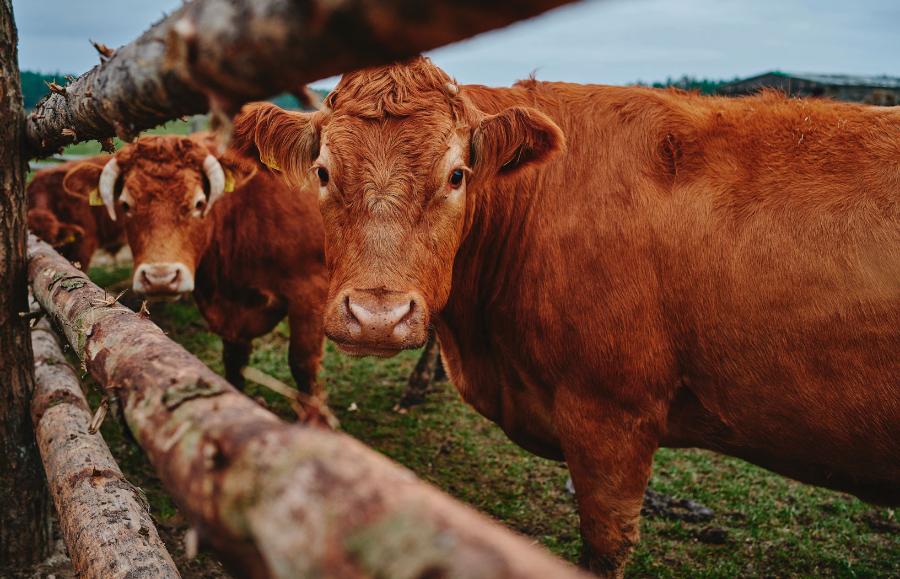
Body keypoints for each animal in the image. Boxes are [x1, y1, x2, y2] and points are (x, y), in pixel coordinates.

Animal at [66, 136, 326, 394]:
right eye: (126, 205)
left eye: (199, 203)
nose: (161, 278)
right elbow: (234, 360)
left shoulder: (309, 294)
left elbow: (302, 365)